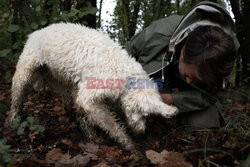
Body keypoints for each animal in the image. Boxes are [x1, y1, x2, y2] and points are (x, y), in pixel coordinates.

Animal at [5, 23, 178, 150]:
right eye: (143, 113)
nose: (142, 132)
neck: (126, 76)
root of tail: (36, 32)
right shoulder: (88, 98)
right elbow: (112, 126)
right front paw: (128, 144)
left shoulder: (81, 94)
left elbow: (85, 117)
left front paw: (90, 135)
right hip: (24, 72)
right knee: (16, 99)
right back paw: (11, 122)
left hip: (59, 78)